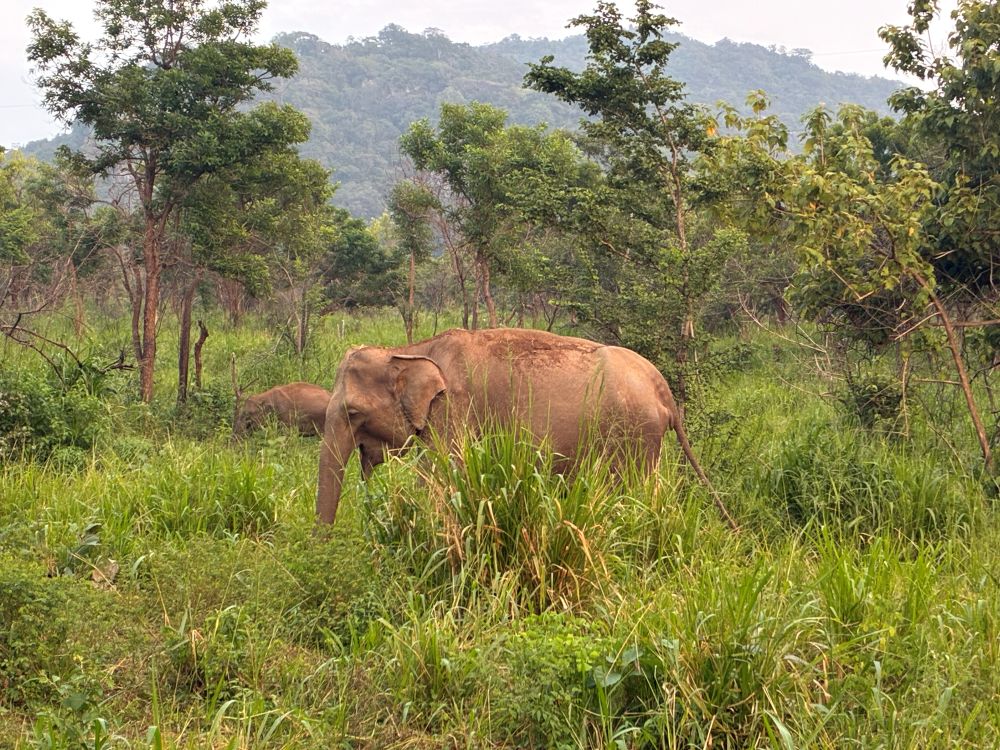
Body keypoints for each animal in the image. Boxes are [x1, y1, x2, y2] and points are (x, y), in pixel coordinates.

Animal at [317, 327, 736, 529]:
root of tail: (661, 385)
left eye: (353, 412)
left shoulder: (454, 413)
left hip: (631, 435)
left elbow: (439, 479)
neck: (413, 349)